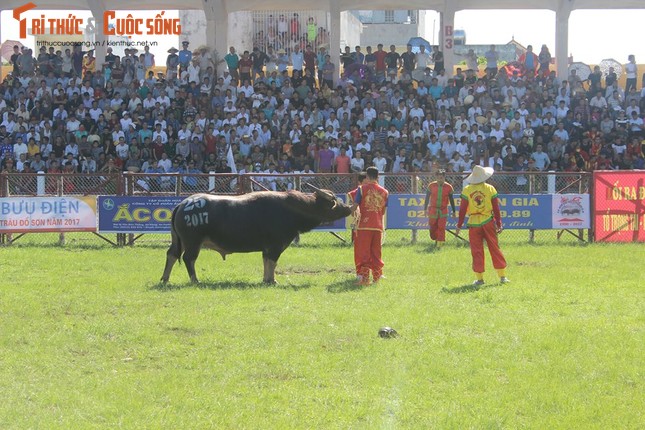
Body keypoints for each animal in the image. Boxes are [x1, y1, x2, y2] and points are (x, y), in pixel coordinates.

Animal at [161, 190, 352, 284]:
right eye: (334, 202)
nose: (349, 208)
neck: (293, 209)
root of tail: (183, 204)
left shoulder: (267, 248)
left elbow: (266, 262)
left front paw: (266, 279)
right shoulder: (276, 246)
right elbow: (273, 262)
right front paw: (272, 280)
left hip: (178, 240)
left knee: (171, 255)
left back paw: (165, 279)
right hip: (193, 242)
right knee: (189, 259)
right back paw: (195, 280)